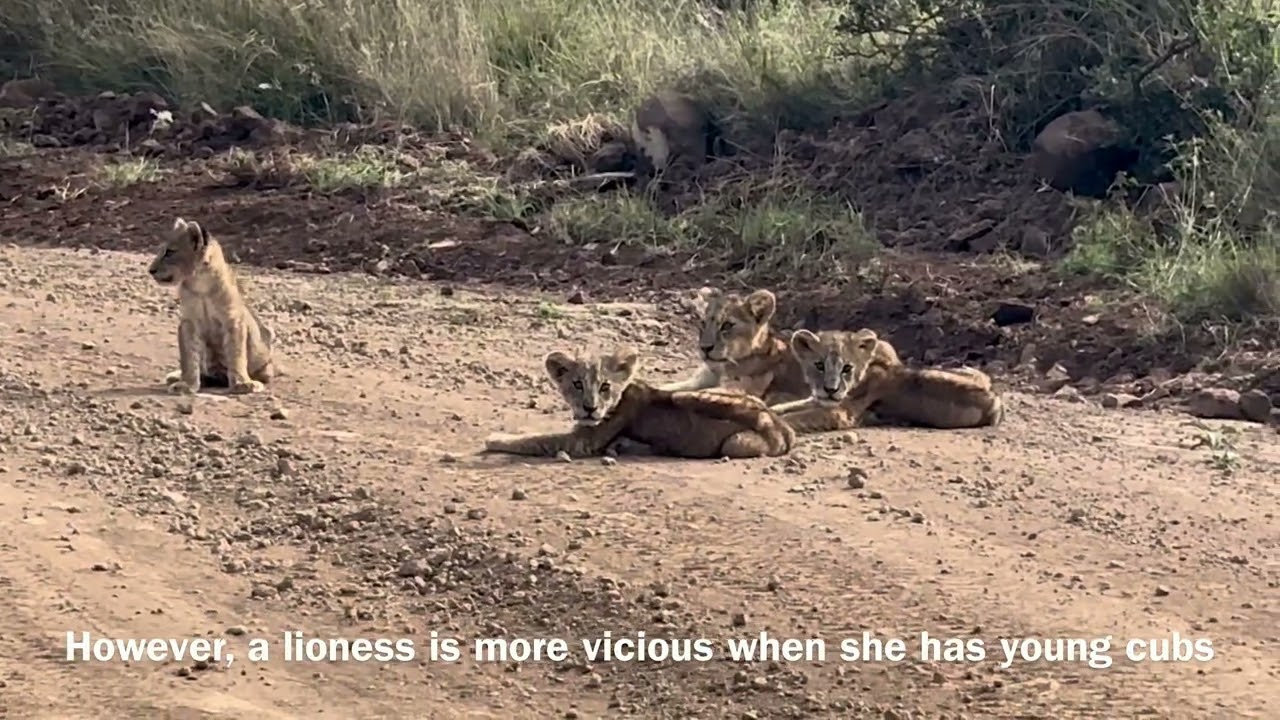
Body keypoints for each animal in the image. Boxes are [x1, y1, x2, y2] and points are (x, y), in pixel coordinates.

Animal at [147, 217, 275, 395]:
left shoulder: (233, 320)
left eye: (170, 252)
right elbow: (188, 356)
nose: (150, 270)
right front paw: (186, 384)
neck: (199, 282)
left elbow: (236, 354)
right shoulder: (188, 322)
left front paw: (242, 383)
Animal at [483, 345, 795, 459]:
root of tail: (782, 427)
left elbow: (536, 439)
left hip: (733, 438)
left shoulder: (581, 442)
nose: (590, 408)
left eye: (605, 387)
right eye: (577, 384)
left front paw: (494, 438)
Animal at [770, 328, 1004, 431]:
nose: (831, 389)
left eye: (847, 368)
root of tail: (995, 397)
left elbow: (796, 416)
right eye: (819, 365)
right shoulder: (817, 400)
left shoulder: (842, 413)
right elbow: (782, 407)